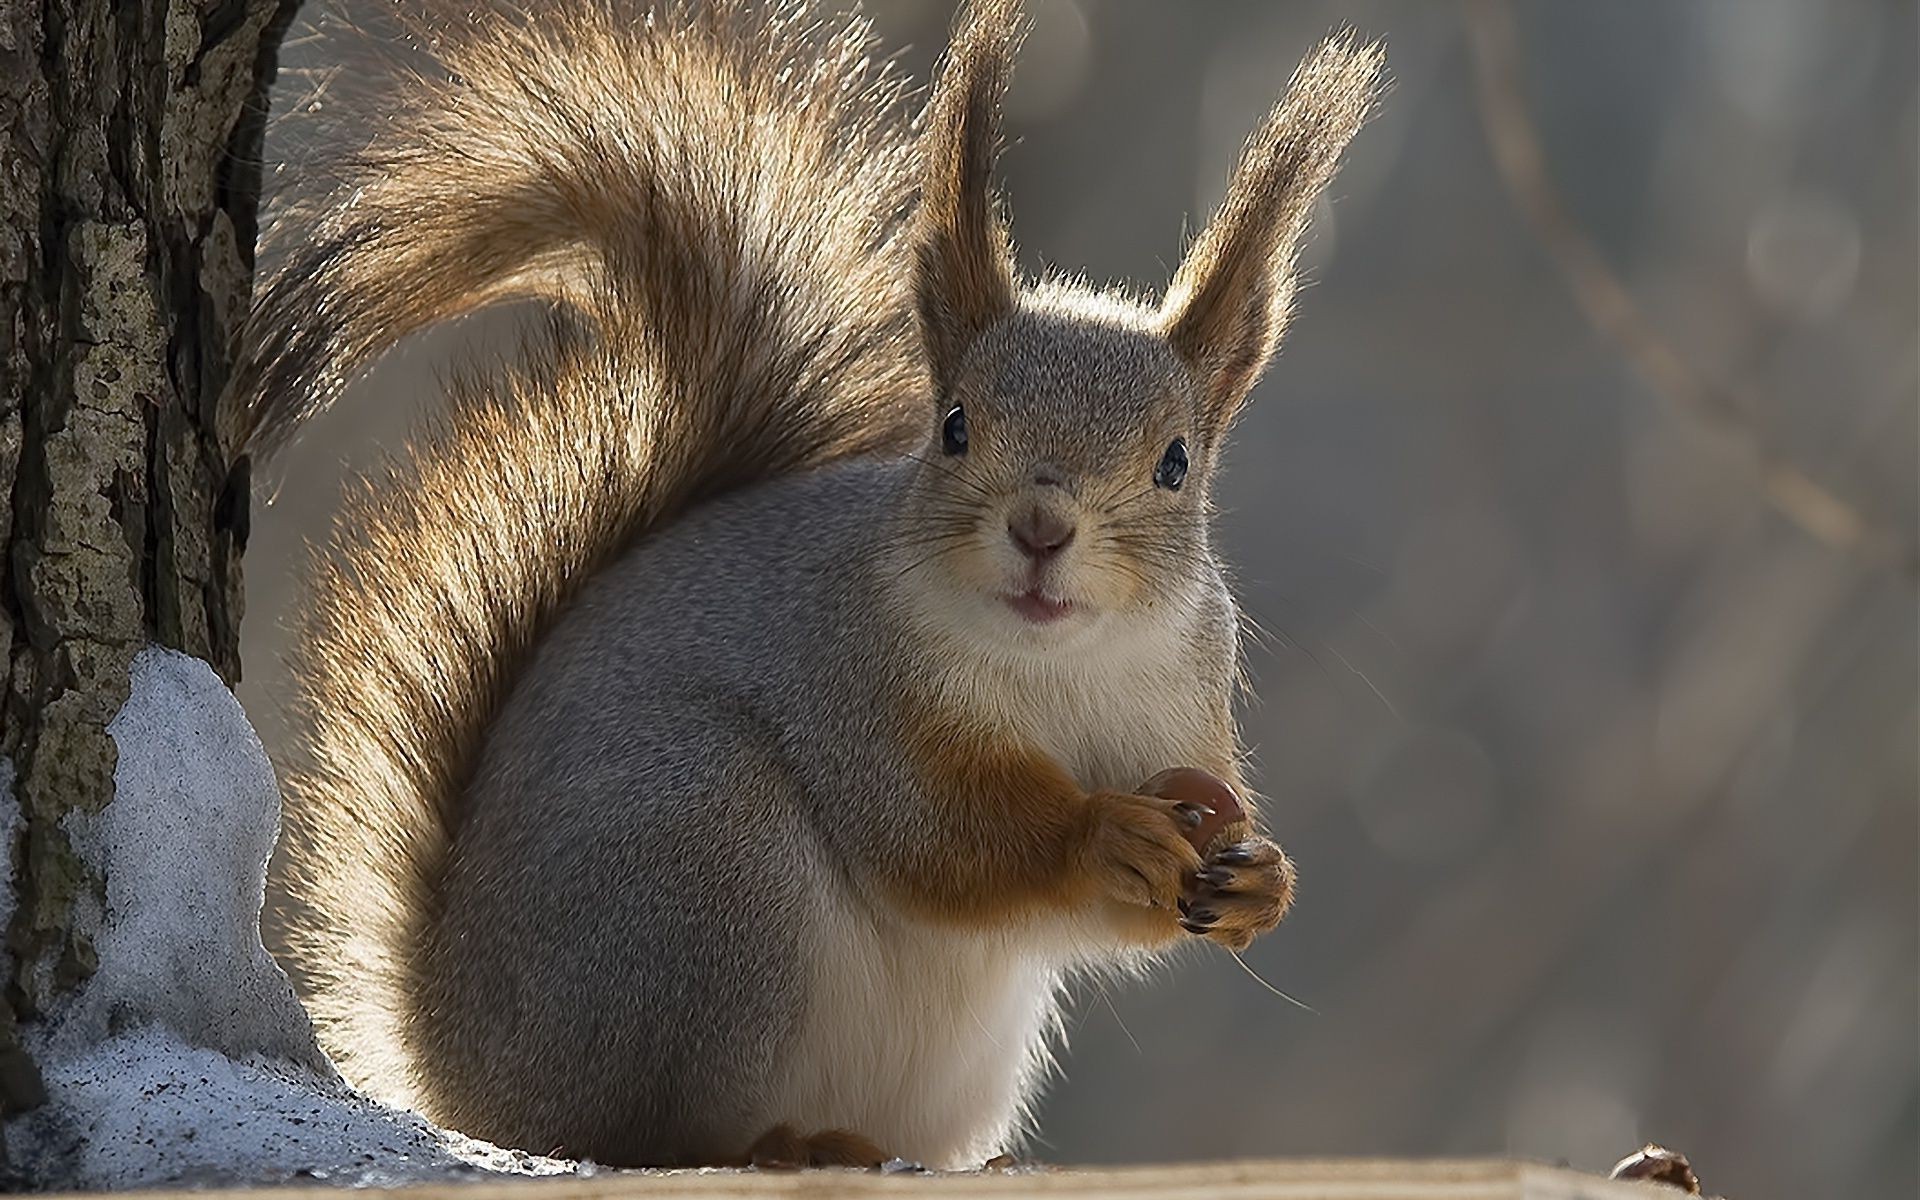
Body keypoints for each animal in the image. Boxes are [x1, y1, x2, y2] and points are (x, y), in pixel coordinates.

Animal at [236, 0, 1382, 1167]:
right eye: (954, 426)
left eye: (1176, 461)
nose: (1042, 527)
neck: (1056, 666)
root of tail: (454, 1055)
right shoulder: (852, 686)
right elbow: (935, 836)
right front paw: (1096, 835)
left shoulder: (1180, 713)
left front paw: (1260, 881)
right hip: (703, 859)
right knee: (640, 1127)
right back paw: (783, 1144)